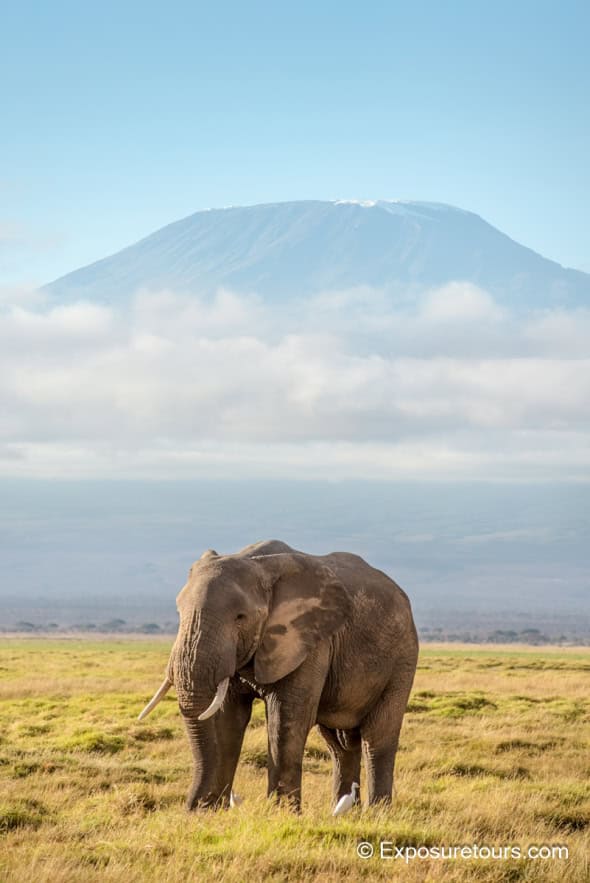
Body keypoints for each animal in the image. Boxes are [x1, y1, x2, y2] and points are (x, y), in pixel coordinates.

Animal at [139, 536, 420, 812]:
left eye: (240, 617)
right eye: (178, 612)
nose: (191, 808)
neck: (256, 562)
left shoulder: (310, 641)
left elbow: (286, 718)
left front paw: (281, 813)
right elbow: (227, 719)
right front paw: (209, 812)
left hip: (402, 660)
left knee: (377, 736)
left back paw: (377, 813)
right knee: (339, 744)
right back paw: (344, 811)